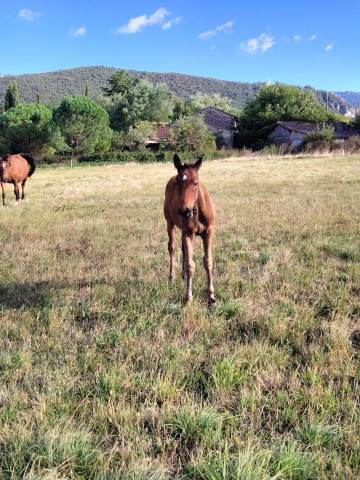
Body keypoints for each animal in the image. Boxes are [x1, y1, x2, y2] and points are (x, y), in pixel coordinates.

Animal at [164, 154, 215, 304]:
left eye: (195, 183)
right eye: (178, 183)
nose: (184, 211)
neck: (196, 211)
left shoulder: (209, 232)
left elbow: (208, 261)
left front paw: (211, 295)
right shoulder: (188, 233)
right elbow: (190, 266)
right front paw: (188, 298)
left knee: (183, 250)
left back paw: (182, 276)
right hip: (170, 223)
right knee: (172, 247)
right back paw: (172, 276)